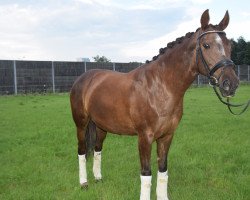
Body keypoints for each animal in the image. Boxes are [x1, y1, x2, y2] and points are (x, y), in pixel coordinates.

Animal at [70, 9, 238, 200]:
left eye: (230, 46)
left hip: (101, 126)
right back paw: (84, 183)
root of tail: (84, 78)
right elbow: (146, 173)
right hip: (81, 124)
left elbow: (163, 170)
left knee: (97, 149)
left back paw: (98, 178)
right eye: (206, 45)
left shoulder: (167, 136)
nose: (230, 83)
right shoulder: (145, 138)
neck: (159, 87)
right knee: (82, 150)